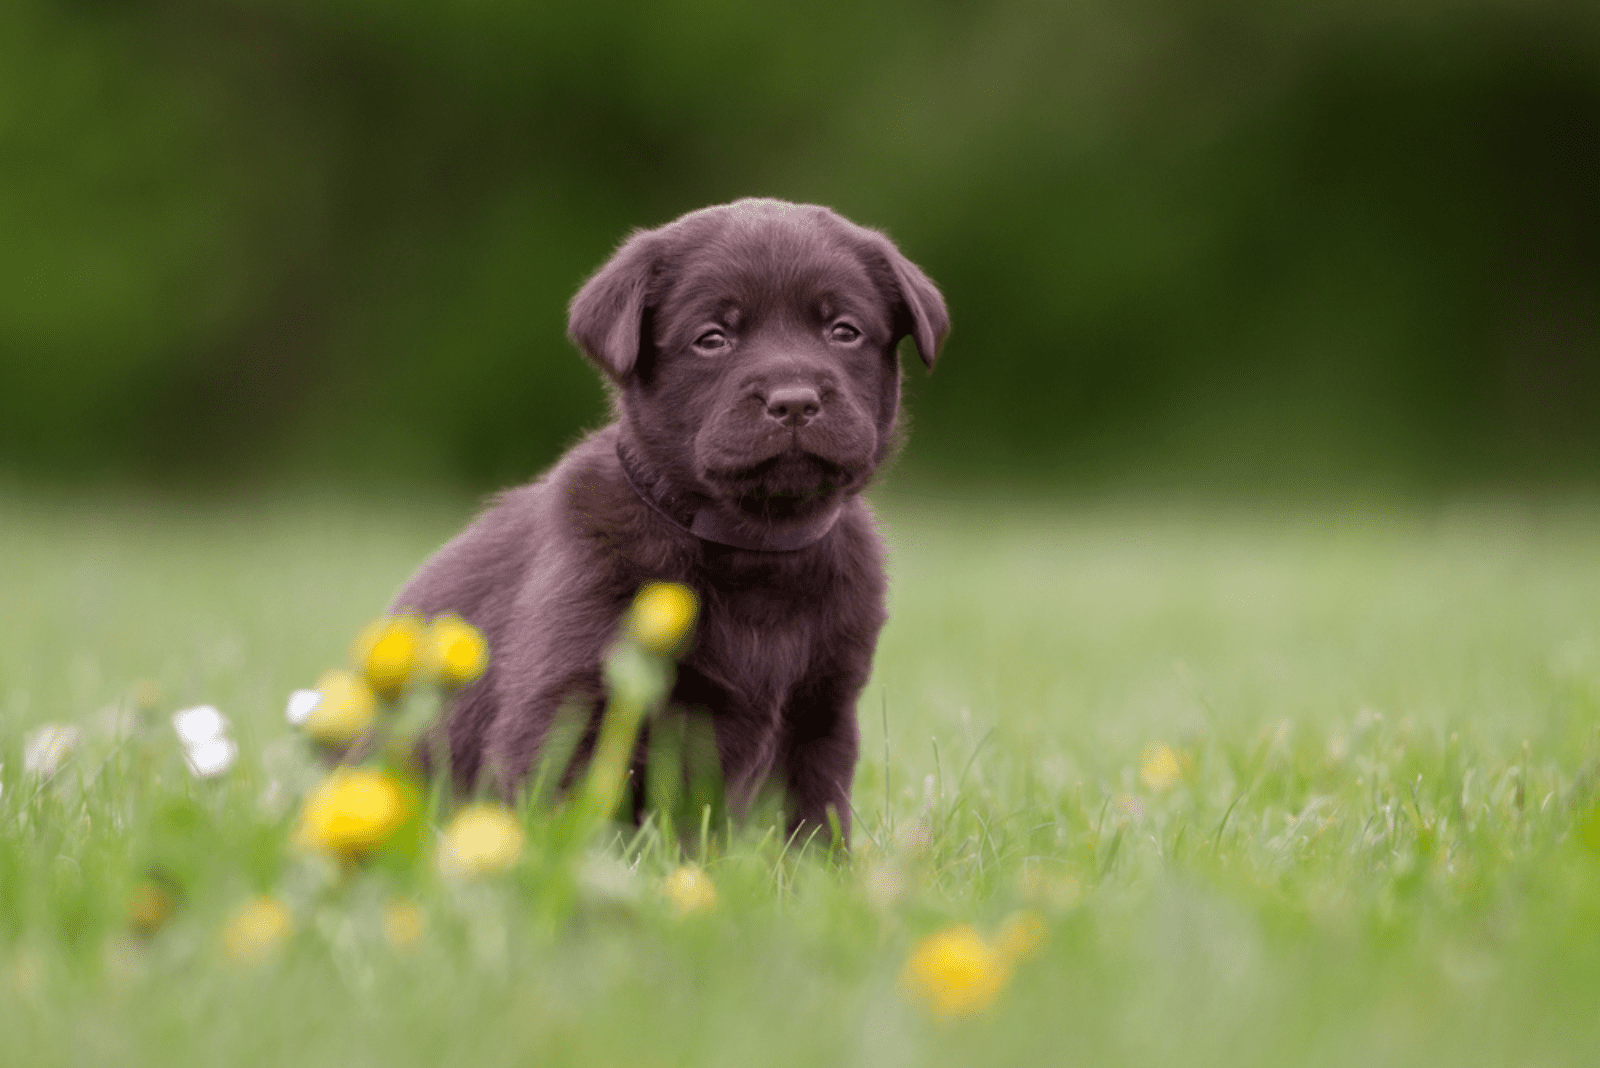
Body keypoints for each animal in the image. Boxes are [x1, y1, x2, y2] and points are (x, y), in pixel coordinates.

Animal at [396, 198, 947, 844]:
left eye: (844, 331)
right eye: (712, 338)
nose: (794, 400)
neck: (754, 545)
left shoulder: (824, 712)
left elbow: (814, 822)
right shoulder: (572, 700)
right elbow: (572, 816)